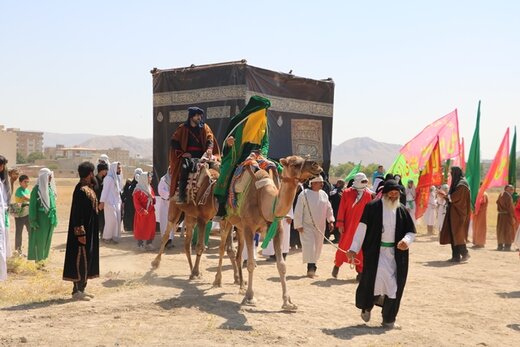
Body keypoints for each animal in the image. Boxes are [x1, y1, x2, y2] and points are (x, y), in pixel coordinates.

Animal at [212, 156, 320, 312]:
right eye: (294, 163)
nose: (316, 166)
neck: (265, 201)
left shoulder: (277, 230)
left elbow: (282, 265)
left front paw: (288, 302)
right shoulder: (249, 229)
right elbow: (251, 263)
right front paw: (250, 297)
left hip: (239, 227)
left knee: (238, 255)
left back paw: (241, 285)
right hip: (226, 220)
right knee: (222, 248)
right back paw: (217, 280)